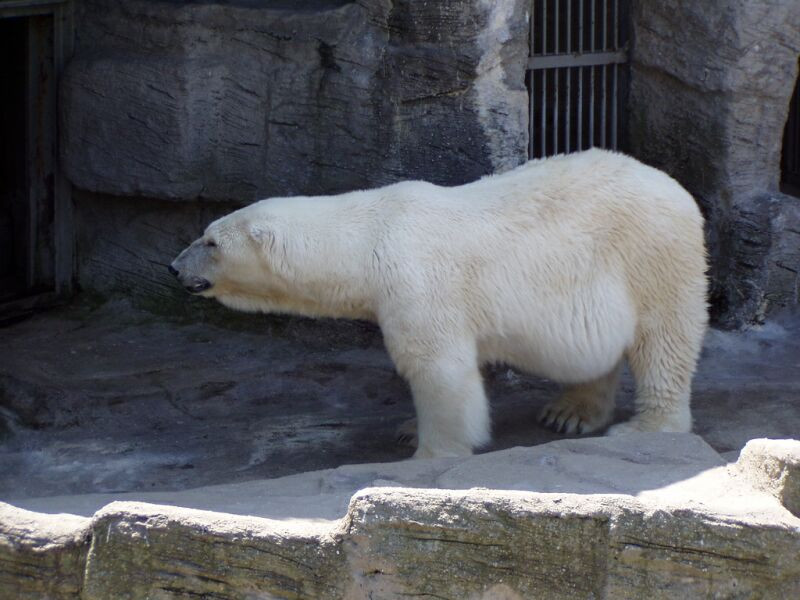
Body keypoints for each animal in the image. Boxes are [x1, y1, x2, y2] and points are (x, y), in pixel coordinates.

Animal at [170, 150, 708, 460]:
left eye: (210, 240)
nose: (174, 267)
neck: (371, 232)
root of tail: (676, 188)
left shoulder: (417, 283)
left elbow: (438, 369)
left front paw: (429, 453)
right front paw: (409, 430)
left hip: (653, 256)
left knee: (664, 341)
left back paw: (646, 426)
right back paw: (569, 412)